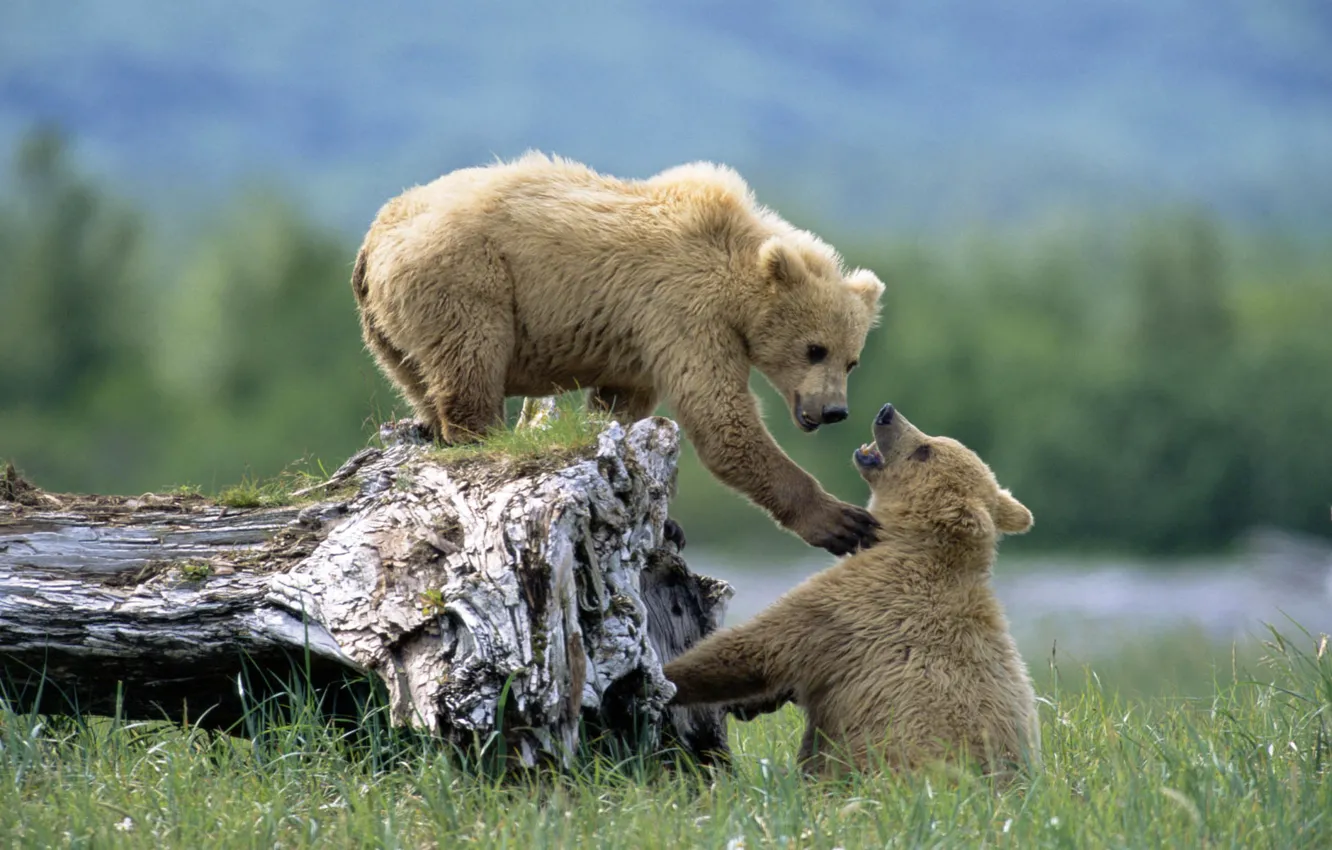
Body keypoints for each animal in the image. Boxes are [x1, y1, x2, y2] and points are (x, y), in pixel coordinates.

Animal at [352, 153, 885, 555]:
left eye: (851, 360)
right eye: (814, 349)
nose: (833, 410)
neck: (736, 273)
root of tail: (372, 239)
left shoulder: (641, 342)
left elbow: (622, 407)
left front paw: (665, 519)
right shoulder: (685, 312)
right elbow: (721, 420)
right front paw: (843, 521)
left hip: (389, 331)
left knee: (421, 380)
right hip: (464, 277)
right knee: (471, 361)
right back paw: (483, 434)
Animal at [663, 403, 1040, 778]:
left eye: (925, 450)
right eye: (932, 441)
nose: (887, 412)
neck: (911, 542)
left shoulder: (853, 607)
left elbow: (756, 648)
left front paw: (668, 678)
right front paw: (750, 703)